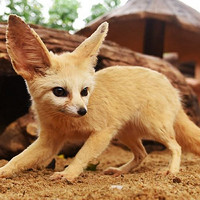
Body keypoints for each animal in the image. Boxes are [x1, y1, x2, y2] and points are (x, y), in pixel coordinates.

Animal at [1, 14, 200, 182]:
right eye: (59, 91)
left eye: (84, 91)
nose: (83, 111)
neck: (66, 123)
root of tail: (172, 87)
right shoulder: (50, 141)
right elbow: (17, 159)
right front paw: (4, 171)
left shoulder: (102, 132)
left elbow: (81, 155)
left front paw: (68, 174)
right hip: (124, 133)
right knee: (143, 153)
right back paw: (120, 171)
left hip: (153, 128)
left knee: (176, 147)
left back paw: (172, 171)